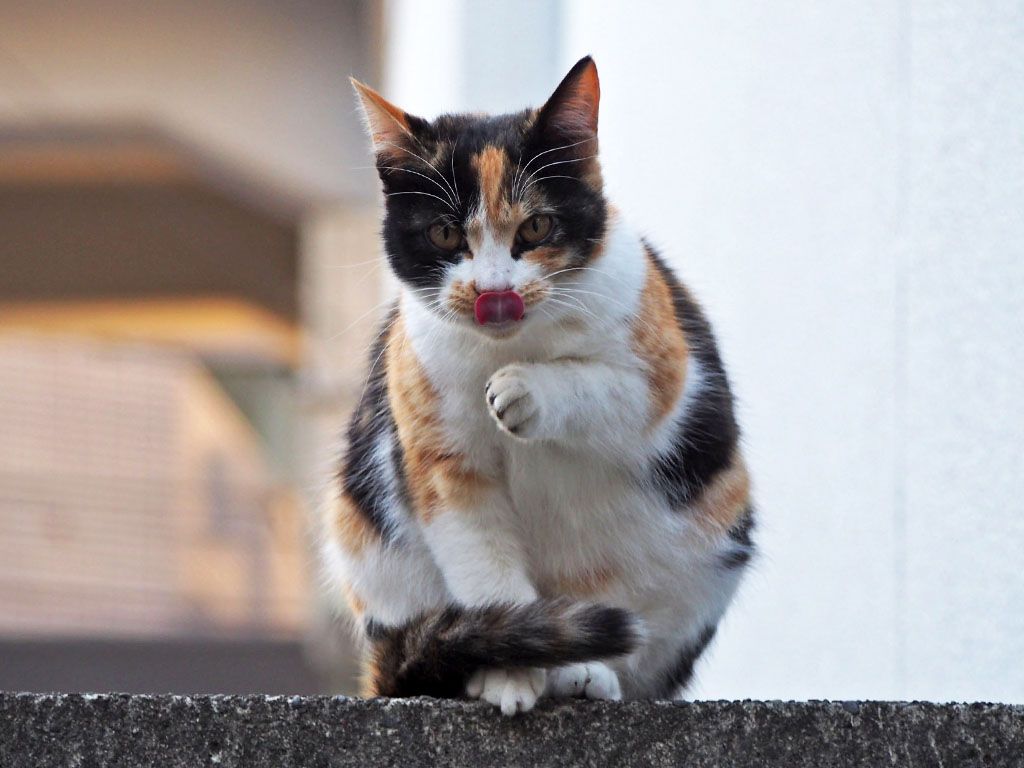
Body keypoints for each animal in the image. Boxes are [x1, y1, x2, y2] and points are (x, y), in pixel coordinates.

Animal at [323, 58, 757, 716]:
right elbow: (484, 568)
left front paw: (524, 392)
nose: (493, 292)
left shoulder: (663, 372)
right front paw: (509, 676)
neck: (511, 343)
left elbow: (615, 389)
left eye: (537, 226)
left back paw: (587, 673)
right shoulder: (443, 464)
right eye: (444, 235)